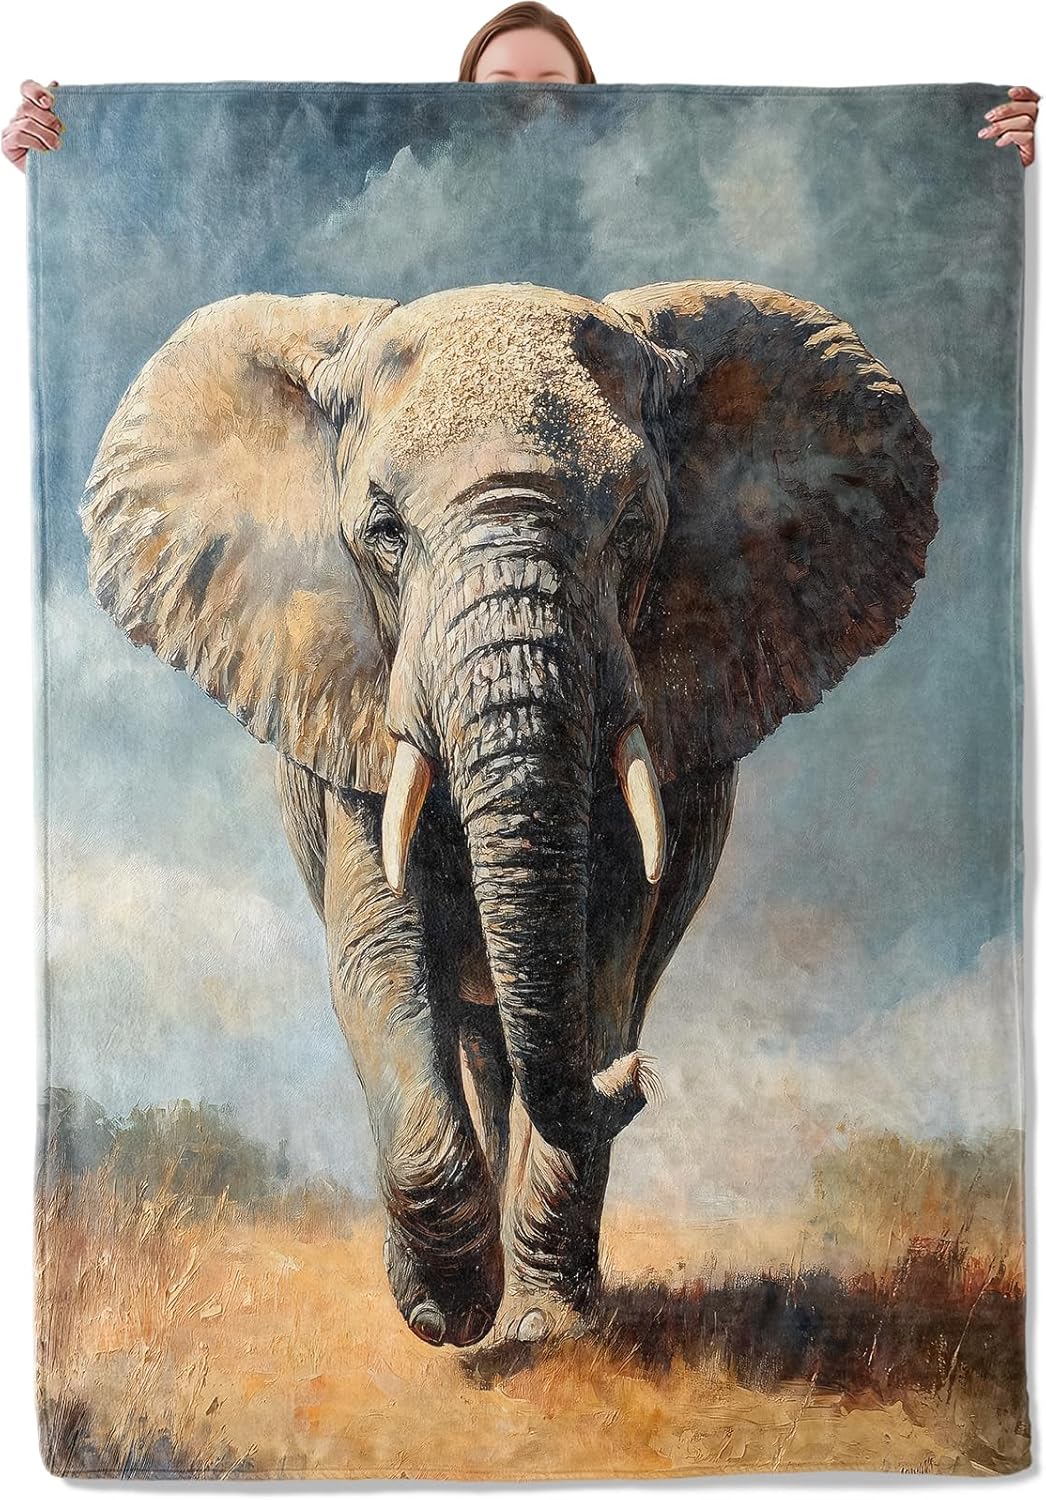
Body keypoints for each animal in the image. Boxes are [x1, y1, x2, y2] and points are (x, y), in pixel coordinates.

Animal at [81, 279, 938, 1349]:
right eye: (383, 530)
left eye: (633, 528)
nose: (641, 1080)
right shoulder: (354, 710)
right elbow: (381, 955)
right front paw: (444, 1315)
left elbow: (604, 955)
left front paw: (539, 1328)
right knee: (471, 1029)